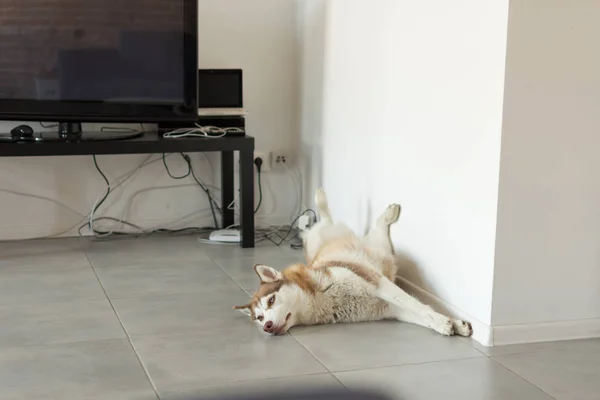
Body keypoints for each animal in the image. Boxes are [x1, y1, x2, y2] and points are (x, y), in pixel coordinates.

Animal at [234, 188, 474, 338]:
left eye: (271, 300)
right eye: (259, 317)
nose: (266, 326)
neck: (322, 296)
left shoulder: (378, 283)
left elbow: (417, 305)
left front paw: (443, 322)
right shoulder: (389, 309)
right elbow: (414, 311)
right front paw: (451, 323)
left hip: (371, 249)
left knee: (333, 217)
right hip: (379, 251)